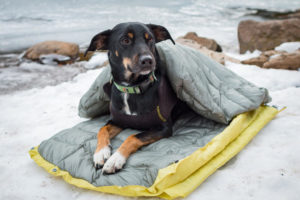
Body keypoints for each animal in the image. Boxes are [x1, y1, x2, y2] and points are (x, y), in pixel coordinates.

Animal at [85, 22, 188, 173]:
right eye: (125, 40)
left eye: (150, 39)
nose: (148, 60)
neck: (131, 88)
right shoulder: (118, 120)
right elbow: (101, 129)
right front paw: (101, 153)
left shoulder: (163, 127)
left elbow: (132, 137)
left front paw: (115, 159)